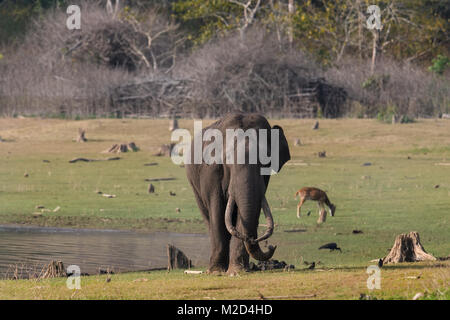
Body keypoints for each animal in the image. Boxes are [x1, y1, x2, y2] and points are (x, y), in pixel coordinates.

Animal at [185, 111, 290, 274]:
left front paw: (237, 271)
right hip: (194, 186)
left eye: (266, 160)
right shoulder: (211, 172)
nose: (271, 246)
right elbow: (217, 211)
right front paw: (217, 272)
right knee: (209, 218)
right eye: (227, 158)